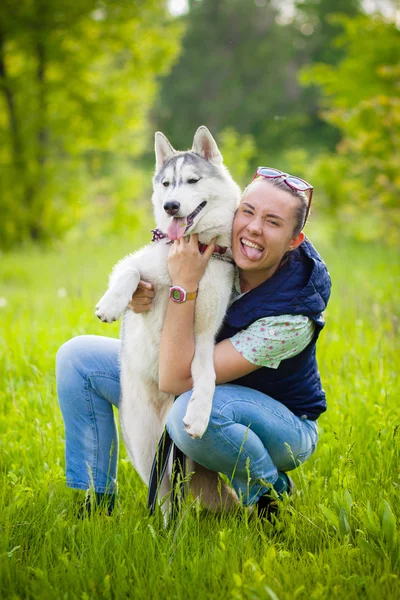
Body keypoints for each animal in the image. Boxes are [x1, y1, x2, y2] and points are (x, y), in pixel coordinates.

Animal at [95, 127, 241, 510]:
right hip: (146, 449)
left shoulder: (204, 337)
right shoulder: (137, 264)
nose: (170, 206)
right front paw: (111, 305)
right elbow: (129, 273)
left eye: (192, 180)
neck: (197, 246)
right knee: (161, 497)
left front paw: (199, 415)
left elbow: (207, 376)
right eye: (165, 184)